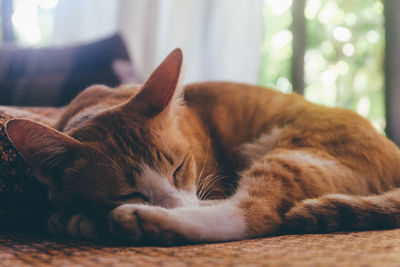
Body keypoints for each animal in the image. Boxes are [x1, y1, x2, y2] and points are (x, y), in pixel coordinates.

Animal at [4, 48, 400, 245]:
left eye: (180, 167)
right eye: (127, 190)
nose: (178, 203)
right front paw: (76, 217)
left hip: (295, 152)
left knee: (254, 215)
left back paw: (144, 220)